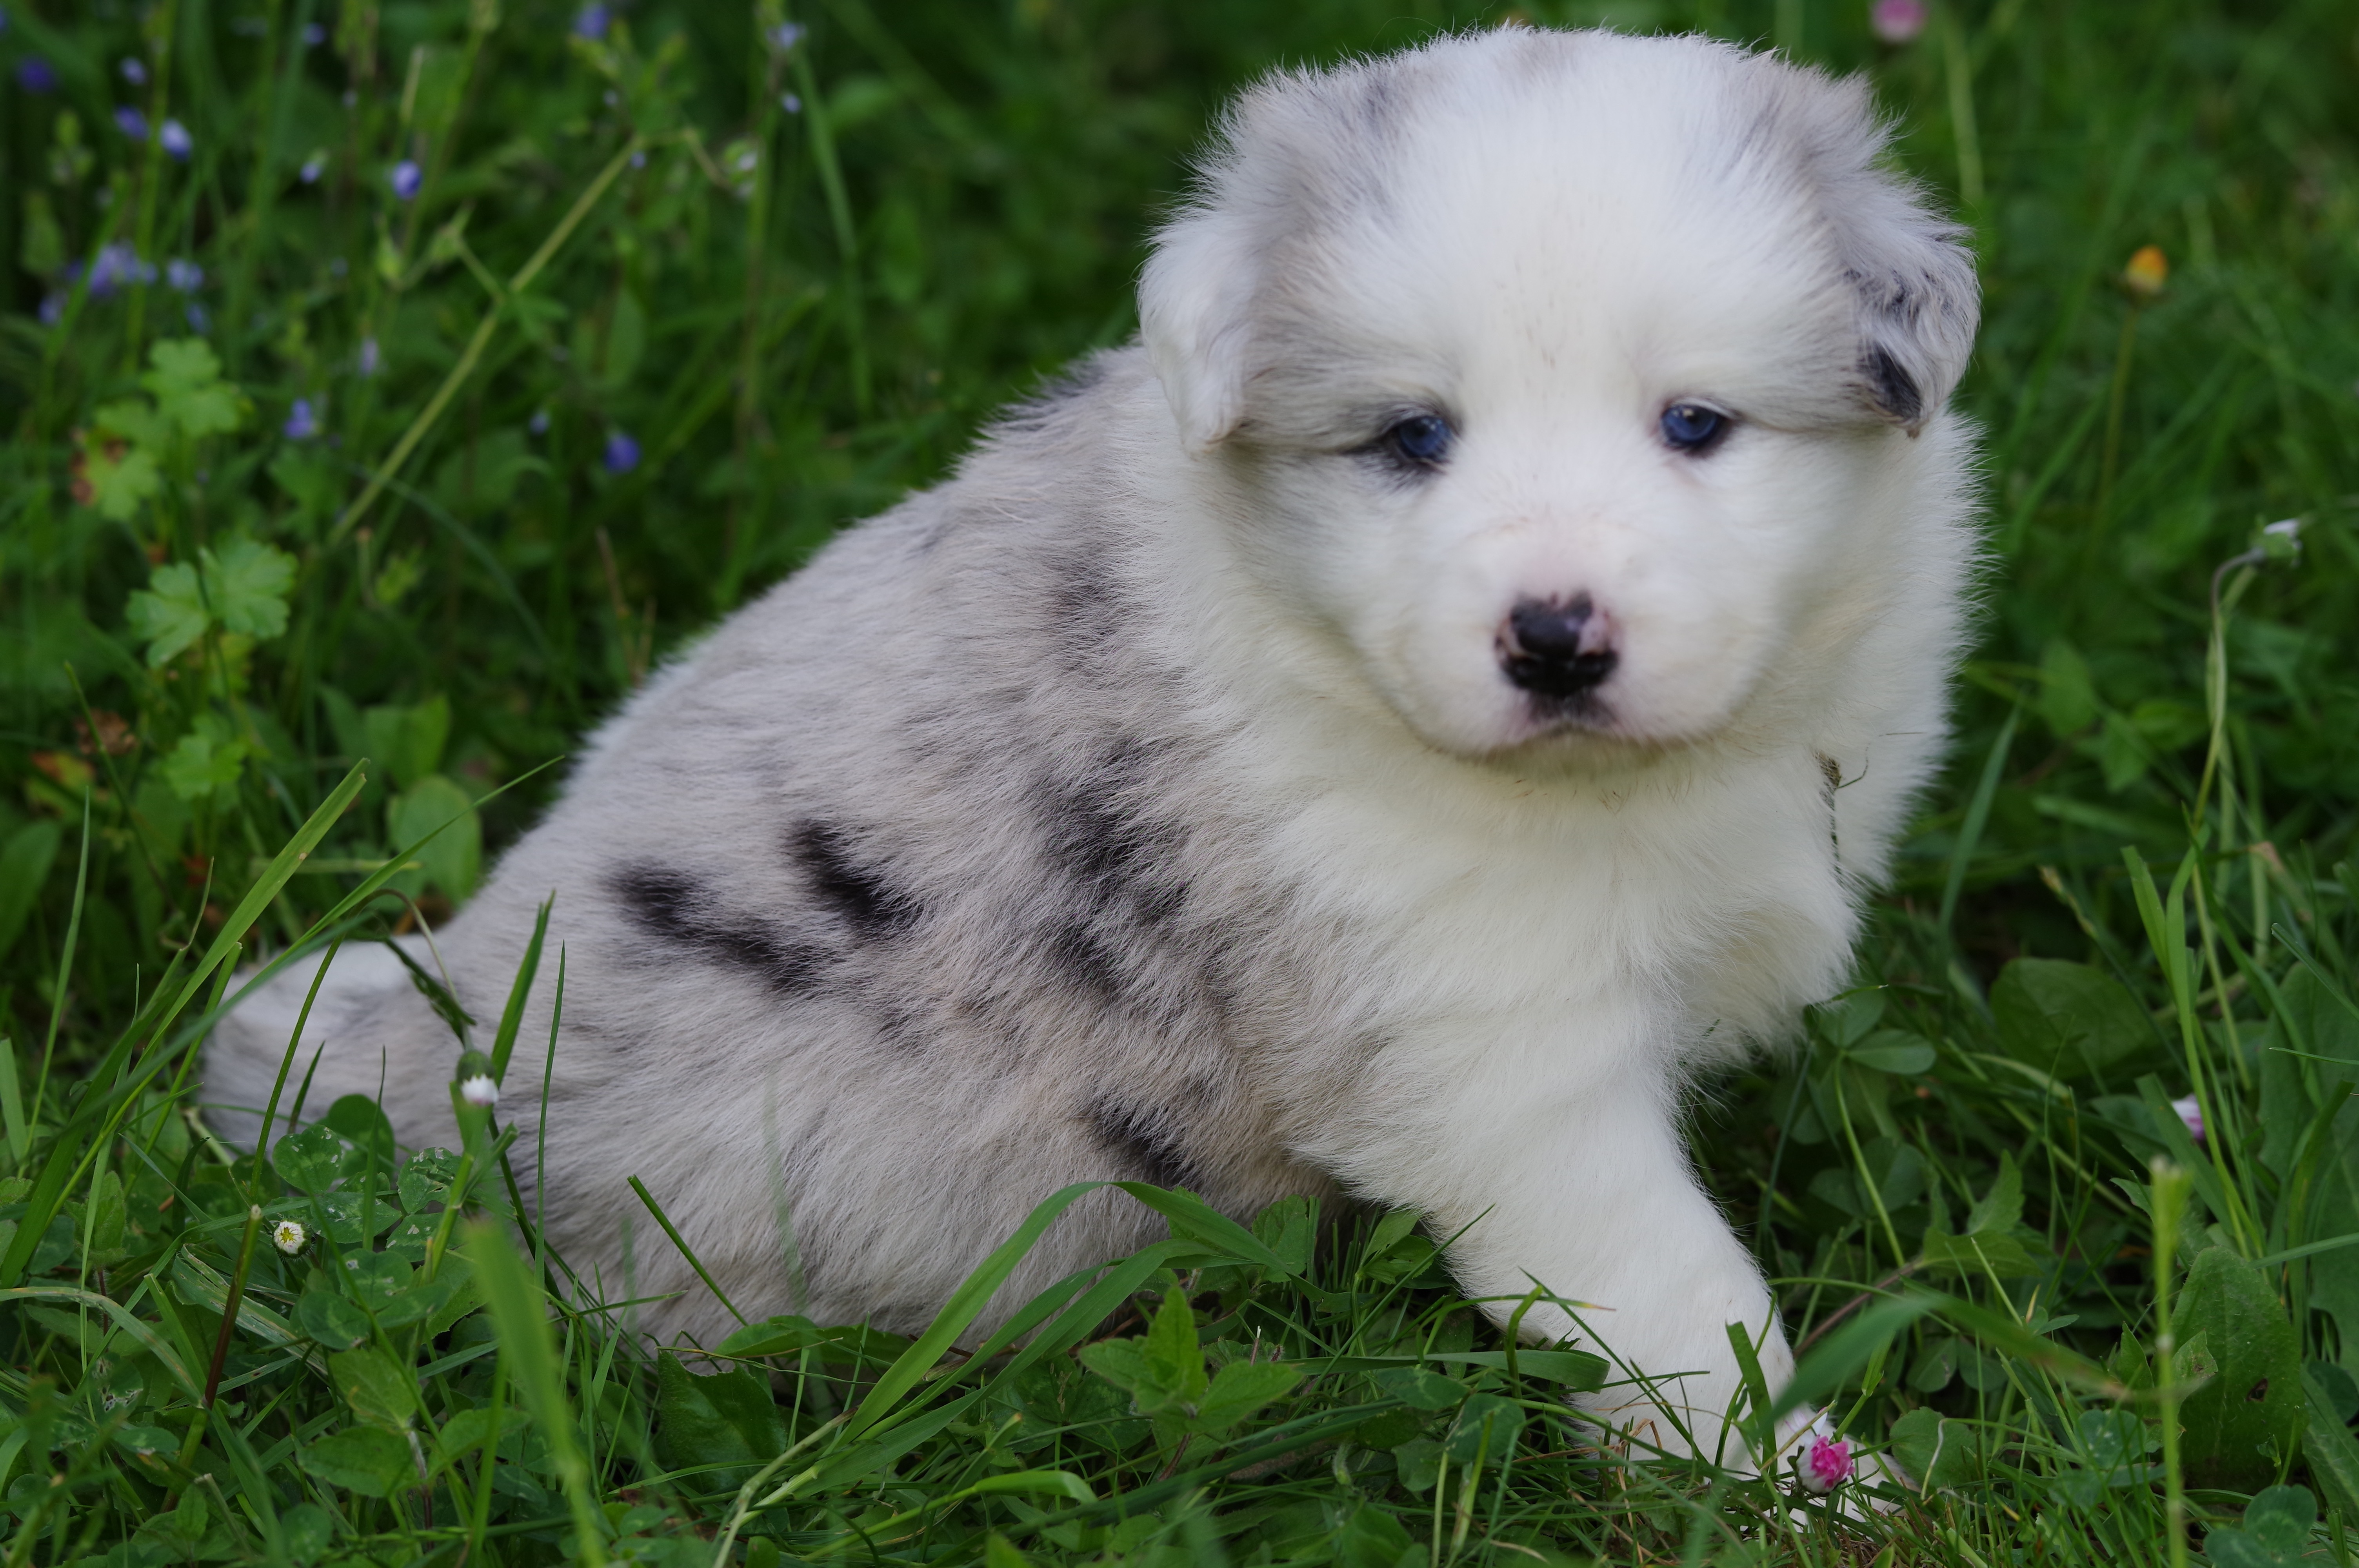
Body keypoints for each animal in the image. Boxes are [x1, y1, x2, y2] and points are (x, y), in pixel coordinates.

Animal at [207, 24, 1972, 1471]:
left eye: (1696, 426)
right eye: (1411, 439)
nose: (1552, 638)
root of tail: (438, 1030)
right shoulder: (1494, 1057)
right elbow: (1670, 1292)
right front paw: (1797, 1476)